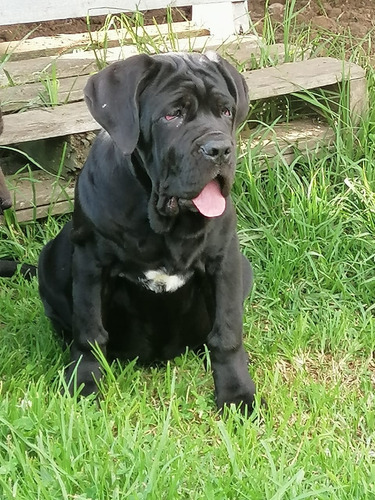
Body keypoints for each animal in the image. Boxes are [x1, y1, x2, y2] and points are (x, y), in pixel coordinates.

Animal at [39, 53, 262, 414]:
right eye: (173, 115)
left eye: (226, 111)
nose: (219, 149)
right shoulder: (90, 262)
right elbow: (89, 332)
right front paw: (84, 384)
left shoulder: (224, 261)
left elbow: (227, 333)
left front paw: (236, 394)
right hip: (51, 258)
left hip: (244, 268)